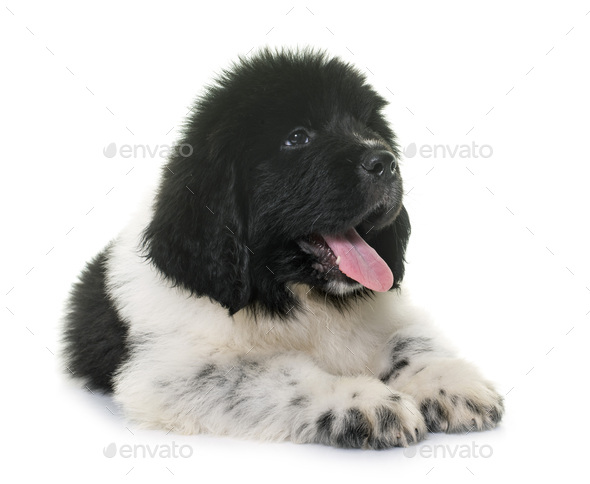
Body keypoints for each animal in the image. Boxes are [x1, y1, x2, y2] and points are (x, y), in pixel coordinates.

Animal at [61, 49, 504, 450]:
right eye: (297, 138)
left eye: (365, 125)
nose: (386, 161)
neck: (297, 295)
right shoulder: (171, 371)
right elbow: (278, 375)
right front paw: (365, 402)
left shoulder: (389, 312)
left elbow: (409, 340)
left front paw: (451, 382)